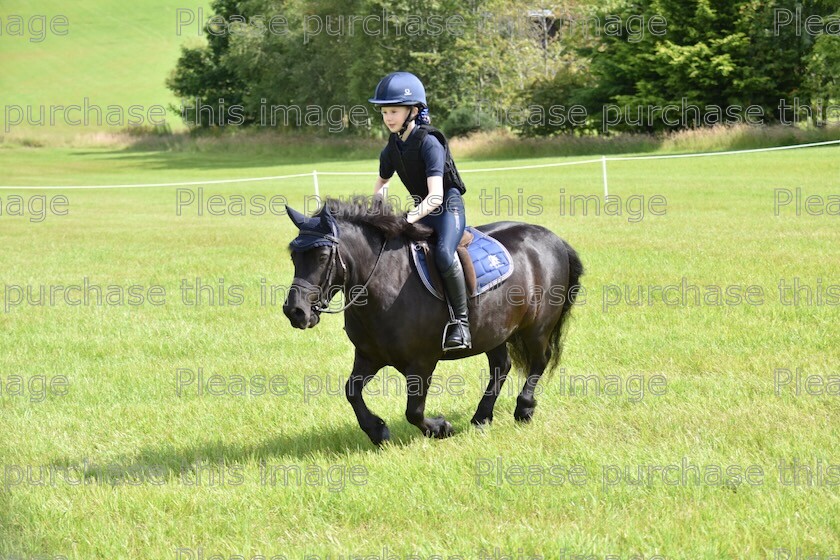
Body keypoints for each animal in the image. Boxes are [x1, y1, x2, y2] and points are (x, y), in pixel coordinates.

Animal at [284, 197, 584, 446]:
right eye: (293, 256)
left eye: (323, 256)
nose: (295, 311)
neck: (385, 282)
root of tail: (554, 239)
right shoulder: (369, 356)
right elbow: (352, 392)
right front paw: (377, 430)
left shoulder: (422, 362)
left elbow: (413, 411)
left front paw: (441, 428)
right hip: (494, 330)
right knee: (501, 366)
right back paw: (482, 416)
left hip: (537, 328)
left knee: (540, 360)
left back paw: (524, 408)